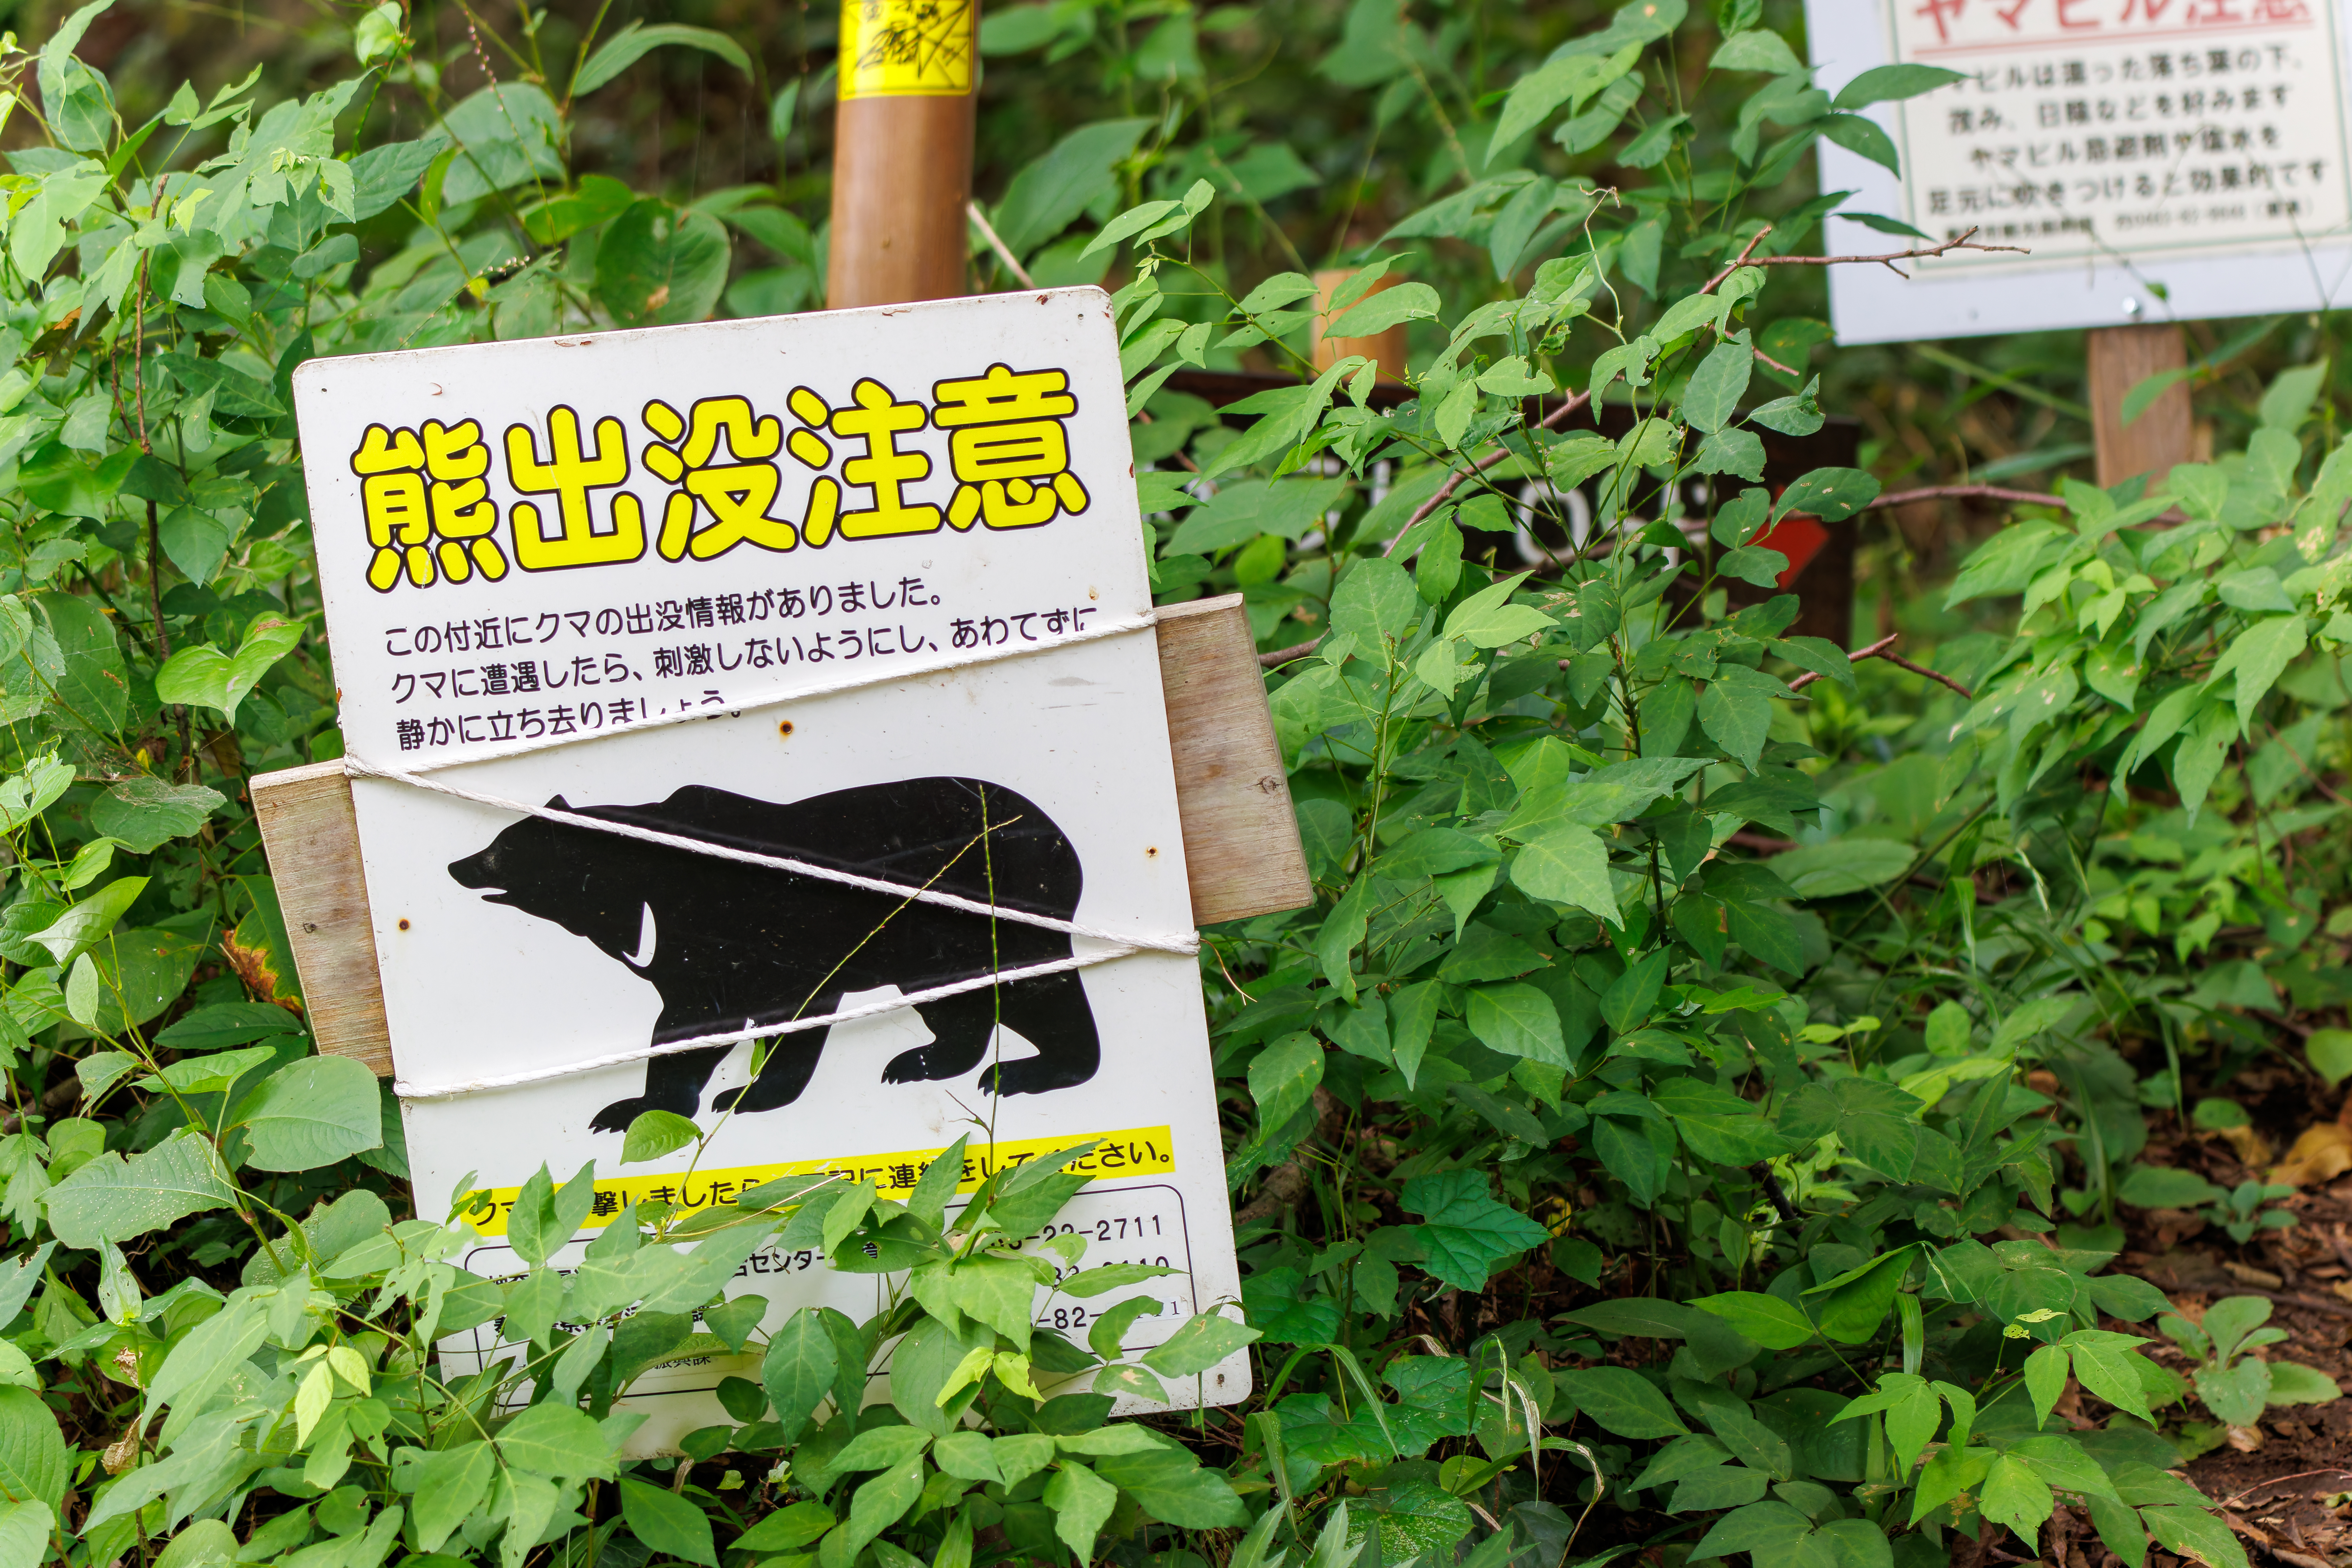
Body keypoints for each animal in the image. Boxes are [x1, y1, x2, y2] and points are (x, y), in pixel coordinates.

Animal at [445, 776, 1101, 1133]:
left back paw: (1027, 1072)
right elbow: (696, 1022)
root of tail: (1064, 842)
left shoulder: (746, 930)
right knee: (954, 1002)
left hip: (990, 906)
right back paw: (920, 1061)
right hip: (928, 946)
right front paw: (644, 1106)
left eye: (502, 848)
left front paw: (727, 1098)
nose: (457, 864)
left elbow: (723, 1020)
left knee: (1038, 990)